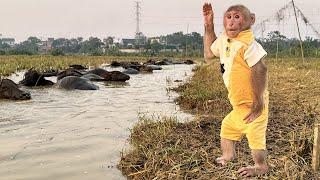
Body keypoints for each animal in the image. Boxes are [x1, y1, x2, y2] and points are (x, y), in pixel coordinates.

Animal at [204, 2, 268, 177]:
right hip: (231, 122)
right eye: (229, 16)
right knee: (226, 134)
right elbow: (209, 53)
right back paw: (227, 157)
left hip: (256, 124)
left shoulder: (252, 49)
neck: (234, 38)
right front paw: (208, 18)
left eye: (237, 16)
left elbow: (259, 69)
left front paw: (257, 106)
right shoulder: (220, 41)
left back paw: (258, 168)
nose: (231, 22)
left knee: (257, 147)